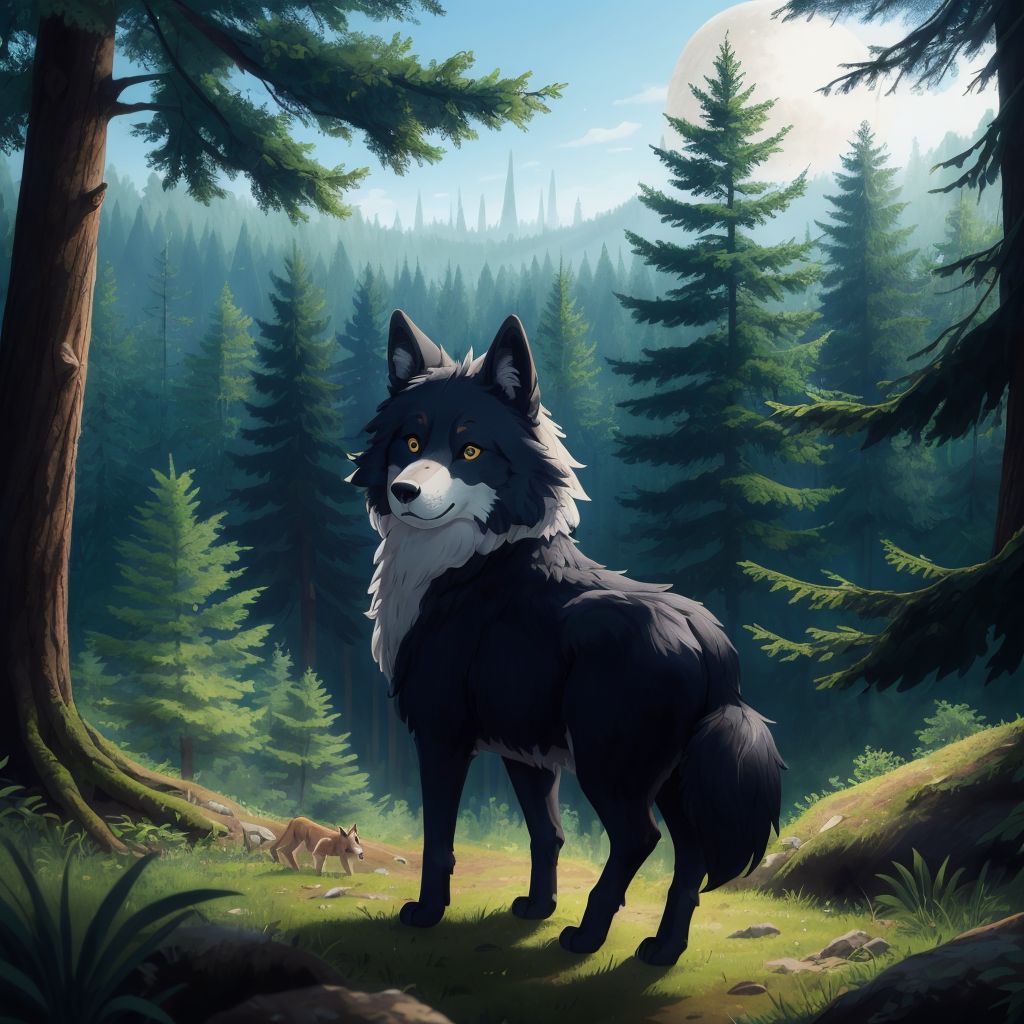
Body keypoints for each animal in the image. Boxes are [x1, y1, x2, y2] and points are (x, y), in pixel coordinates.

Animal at [348, 310, 784, 966]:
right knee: (690, 854)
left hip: (611, 768)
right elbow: (546, 833)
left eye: (470, 450)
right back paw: (662, 951)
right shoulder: (525, 750)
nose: (403, 492)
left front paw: (426, 914)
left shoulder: (442, 735)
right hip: (672, 779)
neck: (464, 565)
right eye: (412, 444)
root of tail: (711, 641)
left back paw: (587, 935)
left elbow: (438, 840)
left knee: (639, 840)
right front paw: (536, 907)